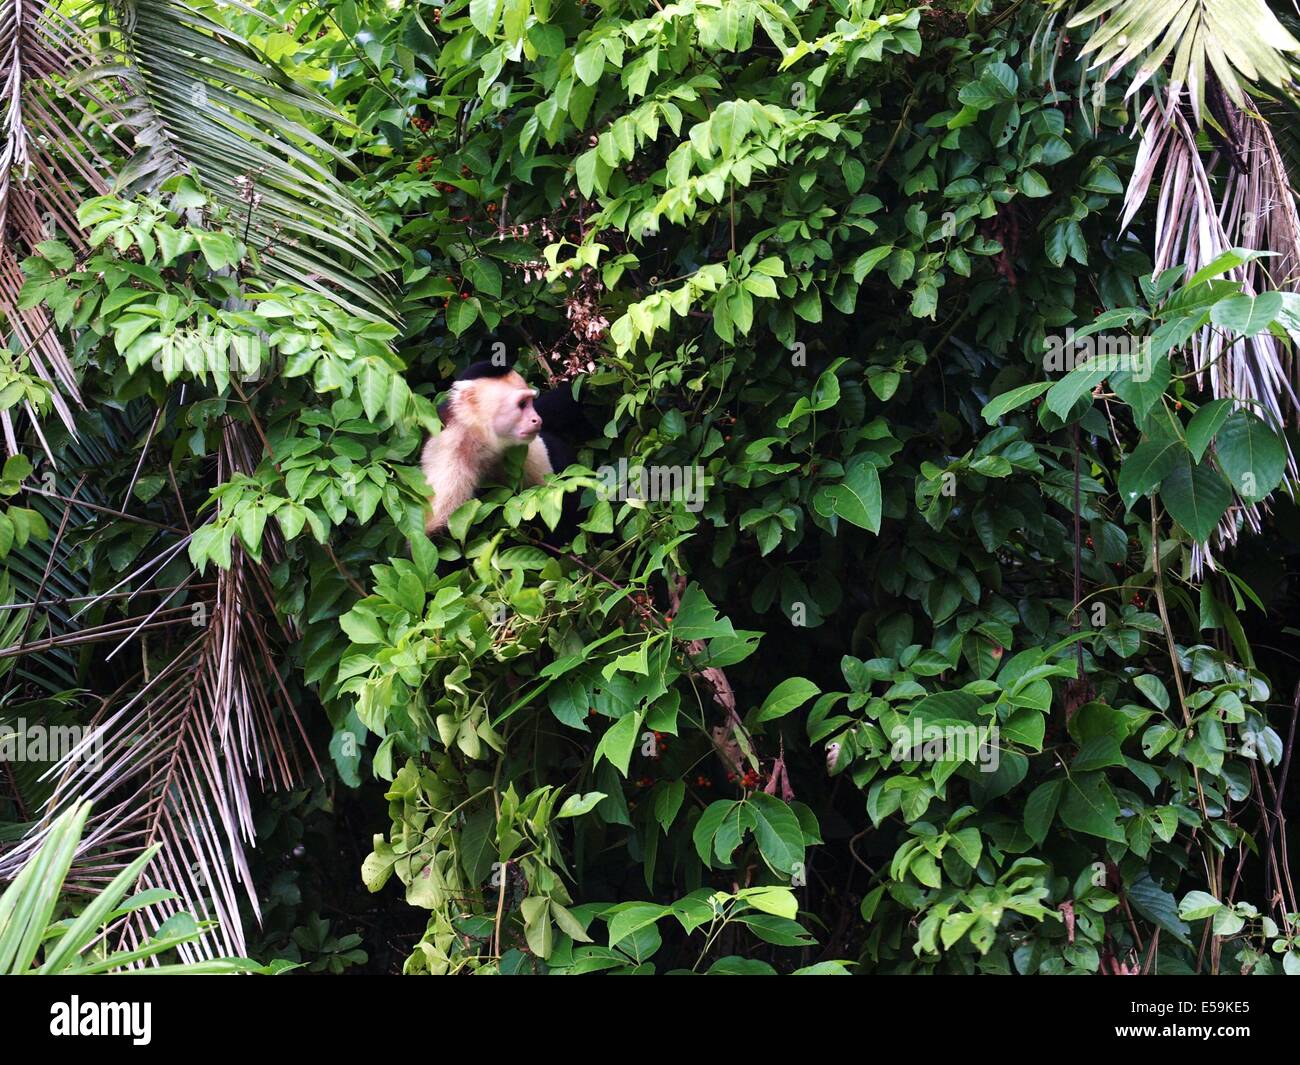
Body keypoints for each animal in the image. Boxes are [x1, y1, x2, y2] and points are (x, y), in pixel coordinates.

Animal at [421, 361, 583, 538]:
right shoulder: (450, 455)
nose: (537, 419)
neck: (481, 440)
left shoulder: (523, 446)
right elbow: (432, 533)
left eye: (530, 402)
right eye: (522, 405)